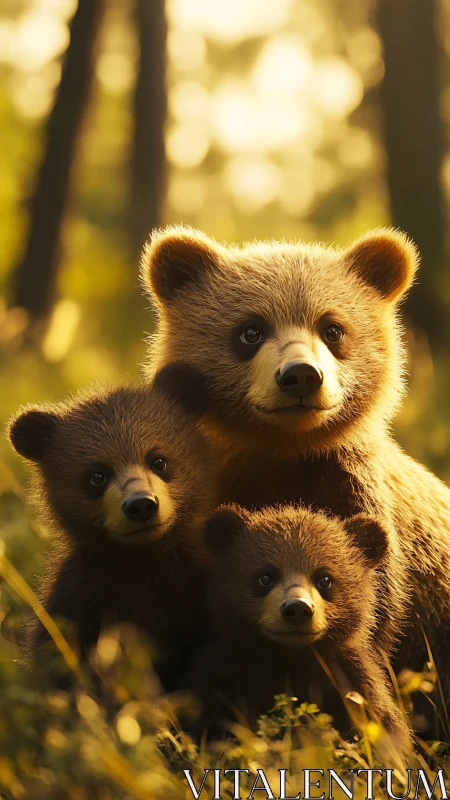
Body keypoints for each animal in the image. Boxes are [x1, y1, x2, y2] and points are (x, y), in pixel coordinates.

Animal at [7, 364, 217, 691]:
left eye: (159, 460)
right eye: (97, 476)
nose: (141, 505)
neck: (145, 560)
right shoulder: (83, 597)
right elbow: (57, 660)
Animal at [187, 503, 412, 761]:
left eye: (325, 578)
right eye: (265, 576)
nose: (297, 609)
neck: (290, 658)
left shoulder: (350, 678)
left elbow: (379, 723)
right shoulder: (226, 673)